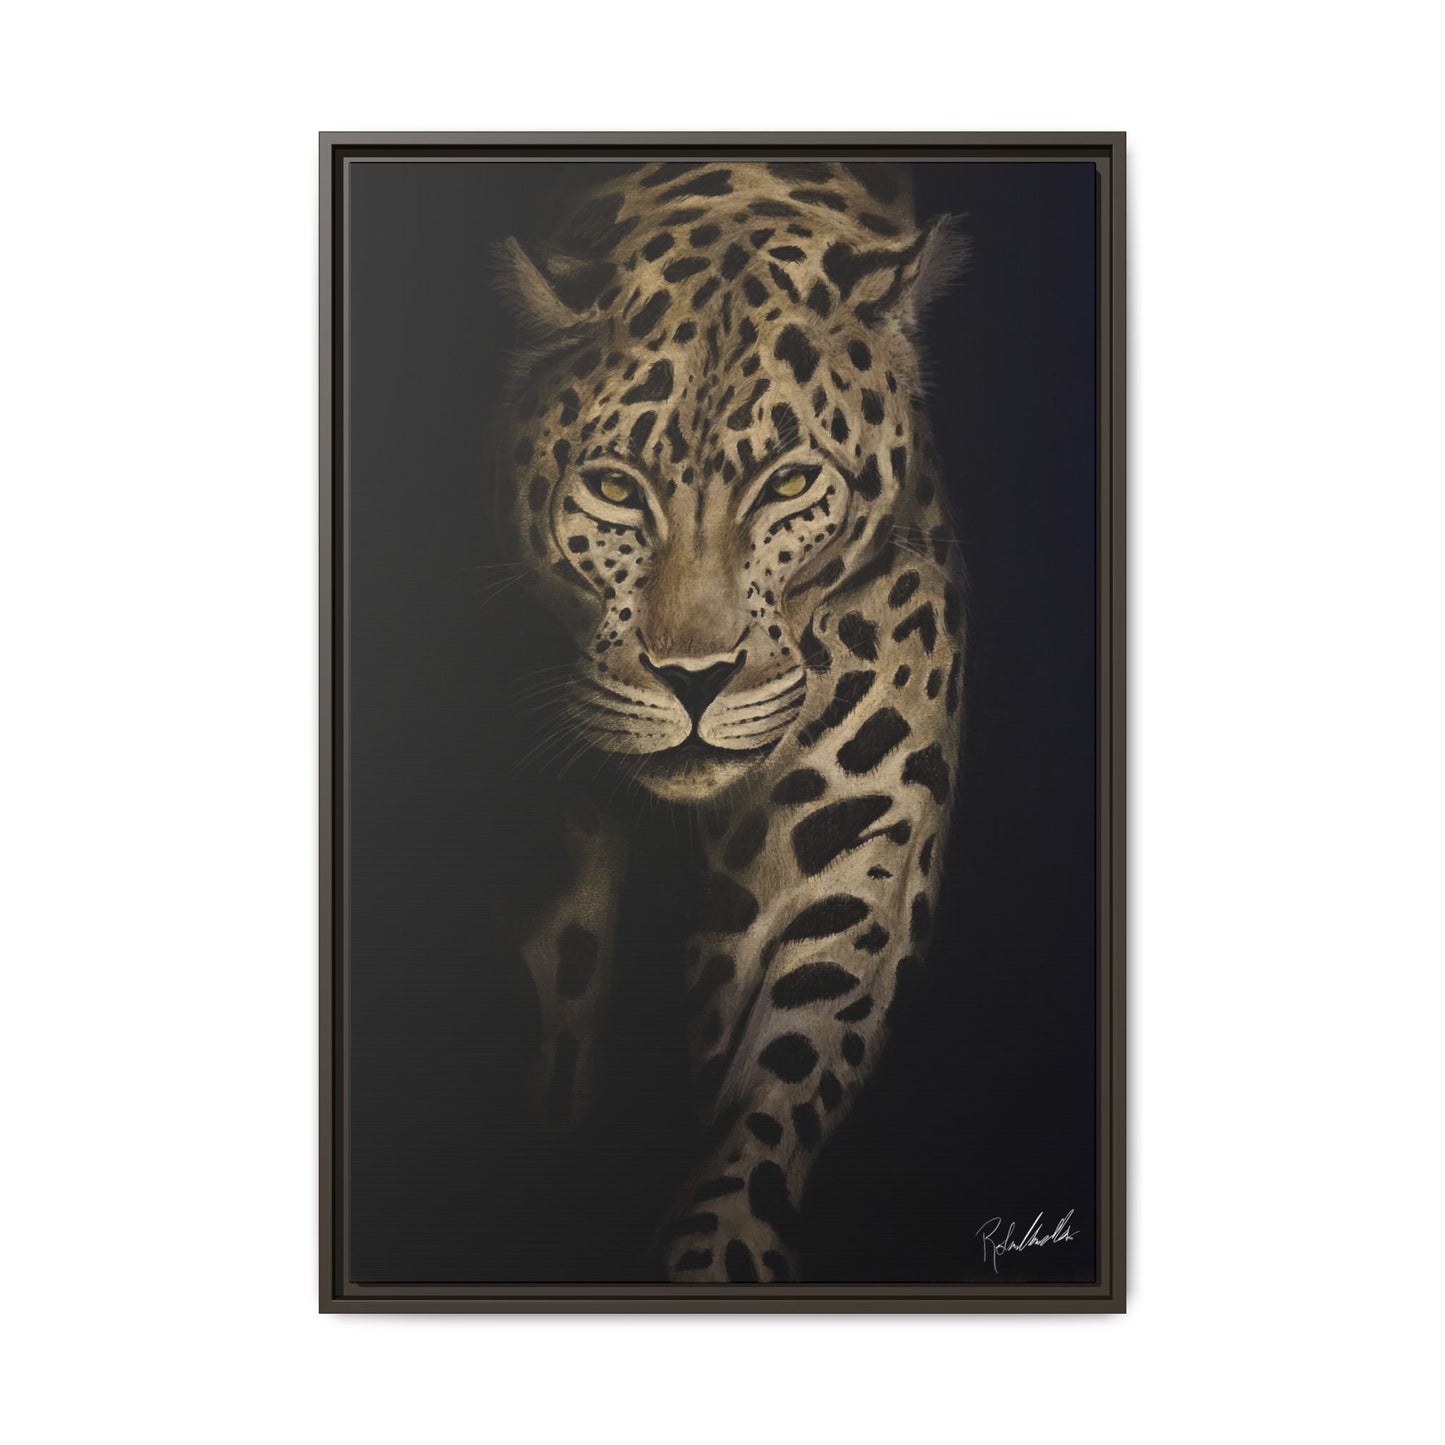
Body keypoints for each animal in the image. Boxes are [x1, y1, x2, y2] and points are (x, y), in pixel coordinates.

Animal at [494, 159, 967, 1284]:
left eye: (789, 482)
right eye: (613, 487)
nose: (694, 680)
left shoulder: (849, 847)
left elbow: (782, 1074)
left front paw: (717, 1250)